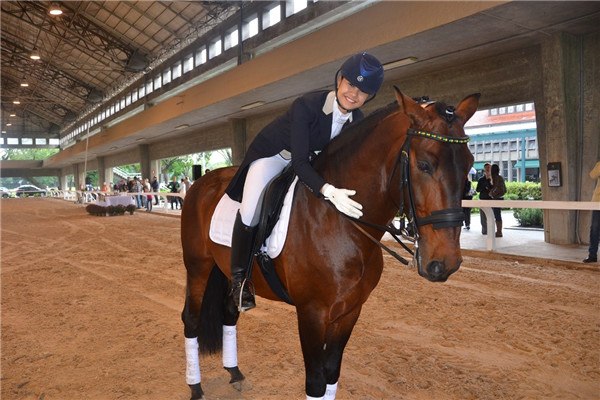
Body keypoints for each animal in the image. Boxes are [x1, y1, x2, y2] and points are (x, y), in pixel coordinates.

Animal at [180, 89, 480, 398]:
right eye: (424, 165)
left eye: (469, 165)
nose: (446, 263)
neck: (341, 224)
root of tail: (203, 181)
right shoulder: (312, 314)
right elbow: (315, 382)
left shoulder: (350, 311)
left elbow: (332, 373)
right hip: (198, 267)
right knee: (191, 320)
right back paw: (196, 386)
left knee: (229, 314)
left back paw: (235, 373)